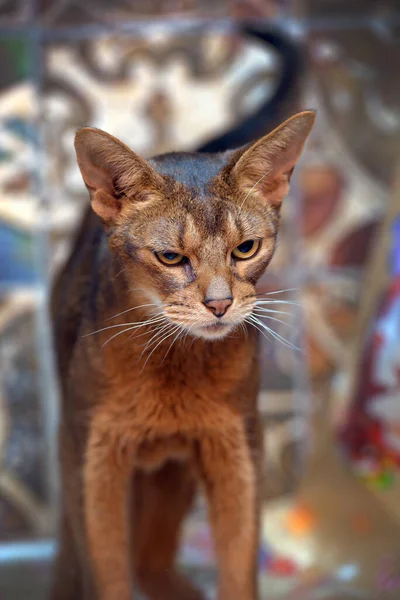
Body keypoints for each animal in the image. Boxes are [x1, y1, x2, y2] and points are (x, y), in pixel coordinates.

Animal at [50, 109, 314, 600]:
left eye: (245, 248)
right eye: (170, 257)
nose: (220, 304)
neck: (174, 362)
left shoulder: (237, 440)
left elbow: (240, 558)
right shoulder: (91, 449)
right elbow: (105, 569)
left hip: (173, 475)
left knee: (150, 560)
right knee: (78, 553)